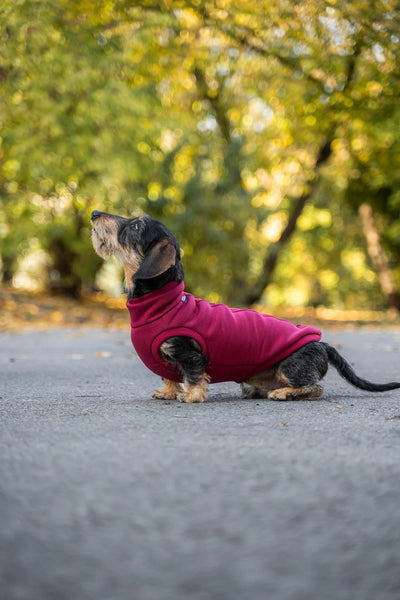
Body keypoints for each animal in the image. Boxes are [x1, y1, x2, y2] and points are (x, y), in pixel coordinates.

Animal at [90, 211, 400, 404]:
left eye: (136, 226)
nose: (93, 213)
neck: (162, 303)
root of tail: (322, 343)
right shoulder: (166, 360)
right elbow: (168, 376)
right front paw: (167, 392)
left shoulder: (189, 353)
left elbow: (193, 376)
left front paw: (191, 396)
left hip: (290, 367)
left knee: (316, 388)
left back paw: (284, 393)